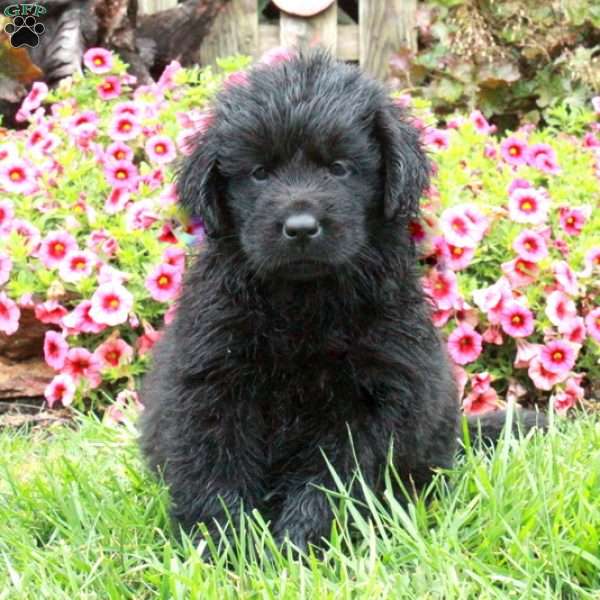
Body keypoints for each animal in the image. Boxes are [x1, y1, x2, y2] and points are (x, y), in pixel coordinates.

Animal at [141, 51, 544, 548]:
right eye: (260, 173)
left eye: (338, 168)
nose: (299, 227)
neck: (302, 303)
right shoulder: (211, 379)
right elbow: (216, 468)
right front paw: (224, 543)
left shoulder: (376, 396)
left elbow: (336, 478)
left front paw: (301, 542)